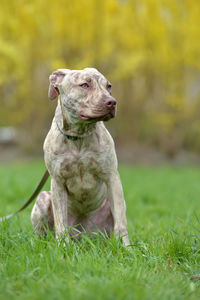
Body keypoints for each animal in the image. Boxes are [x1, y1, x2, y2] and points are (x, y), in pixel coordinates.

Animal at [30, 68, 129, 246]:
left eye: (109, 86)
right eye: (84, 85)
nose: (112, 102)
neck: (79, 136)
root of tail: (83, 237)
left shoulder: (112, 177)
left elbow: (121, 221)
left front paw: (126, 247)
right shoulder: (58, 182)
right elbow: (61, 222)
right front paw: (63, 247)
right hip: (43, 198)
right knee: (43, 232)